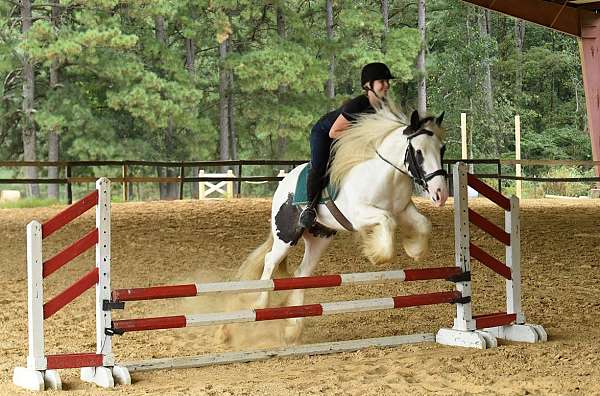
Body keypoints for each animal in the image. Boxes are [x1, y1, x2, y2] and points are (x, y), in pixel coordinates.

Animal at [227, 104, 448, 344]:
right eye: (418, 152)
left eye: (442, 149)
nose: (440, 193)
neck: (386, 175)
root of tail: (284, 182)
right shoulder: (359, 215)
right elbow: (387, 222)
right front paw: (377, 254)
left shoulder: (403, 209)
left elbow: (423, 224)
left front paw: (414, 250)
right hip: (286, 234)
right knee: (270, 261)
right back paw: (260, 307)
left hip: (319, 237)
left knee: (302, 273)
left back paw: (293, 328)